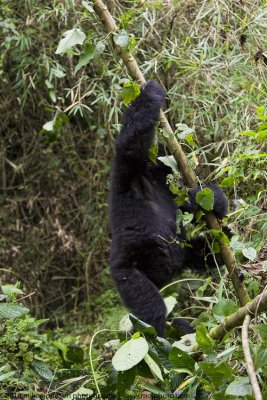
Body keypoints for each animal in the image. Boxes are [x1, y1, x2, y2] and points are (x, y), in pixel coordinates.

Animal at [109, 79, 228, 336]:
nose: (179, 179)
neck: (152, 179)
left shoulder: (167, 190)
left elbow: (189, 205)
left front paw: (216, 201)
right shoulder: (130, 173)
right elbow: (129, 145)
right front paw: (151, 92)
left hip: (182, 255)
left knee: (202, 252)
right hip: (126, 274)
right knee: (151, 310)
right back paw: (157, 337)